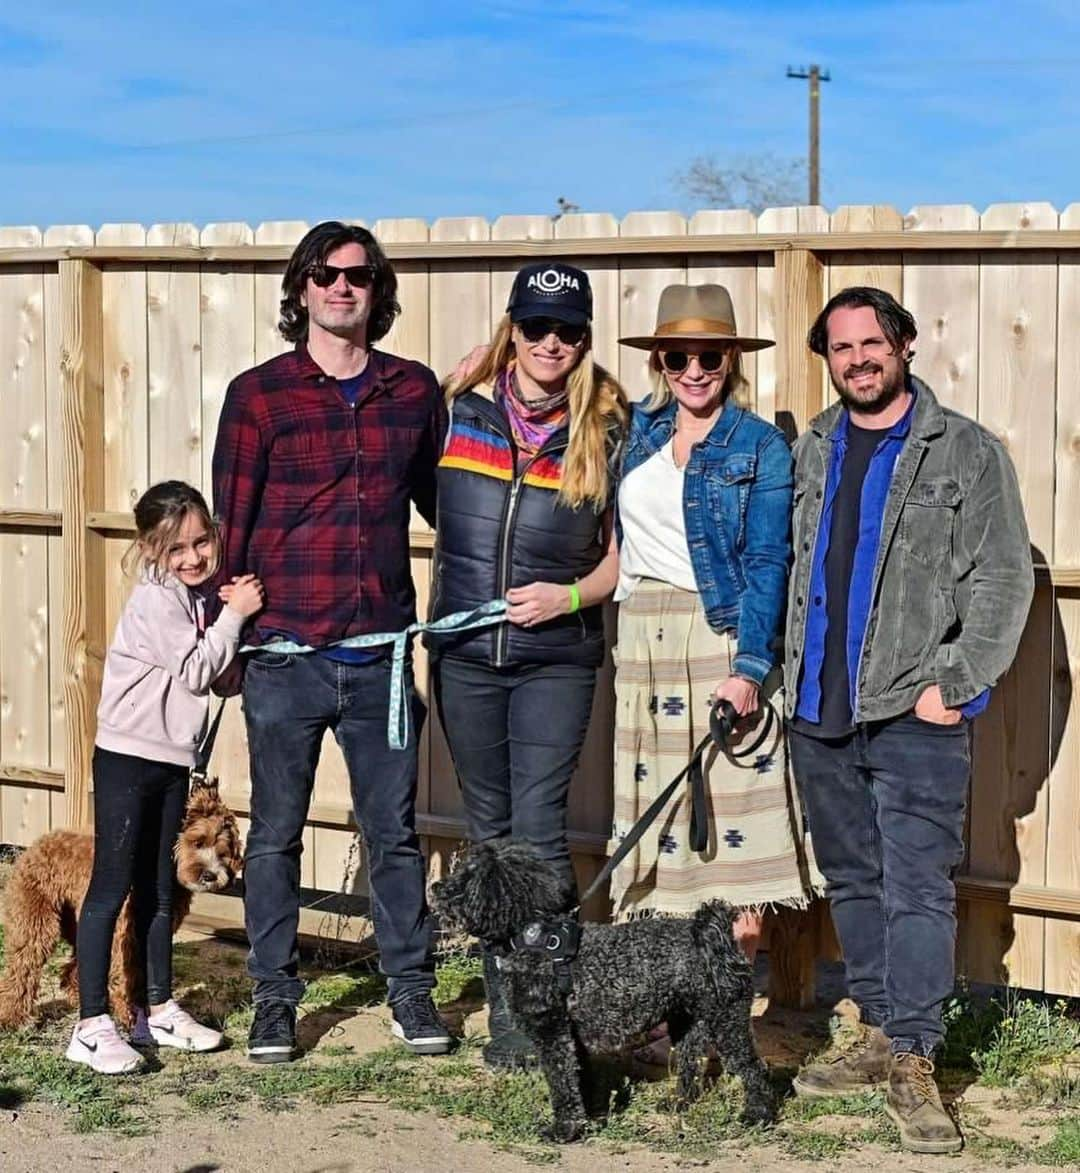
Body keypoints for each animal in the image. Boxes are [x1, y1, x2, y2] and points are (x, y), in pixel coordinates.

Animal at [429, 839, 773, 1140]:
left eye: (465, 878)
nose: (435, 887)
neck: (532, 937)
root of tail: (714, 937)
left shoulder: (553, 1035)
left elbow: (562, 1084)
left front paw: (564, 1130)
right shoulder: (574, 1037)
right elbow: (582, 1080)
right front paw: (592, 1117)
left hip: (727, 1022)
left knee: (754, 1069)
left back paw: (757, 1116)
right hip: (688, 1024)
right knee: (689, 1065)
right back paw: (677, 1104)